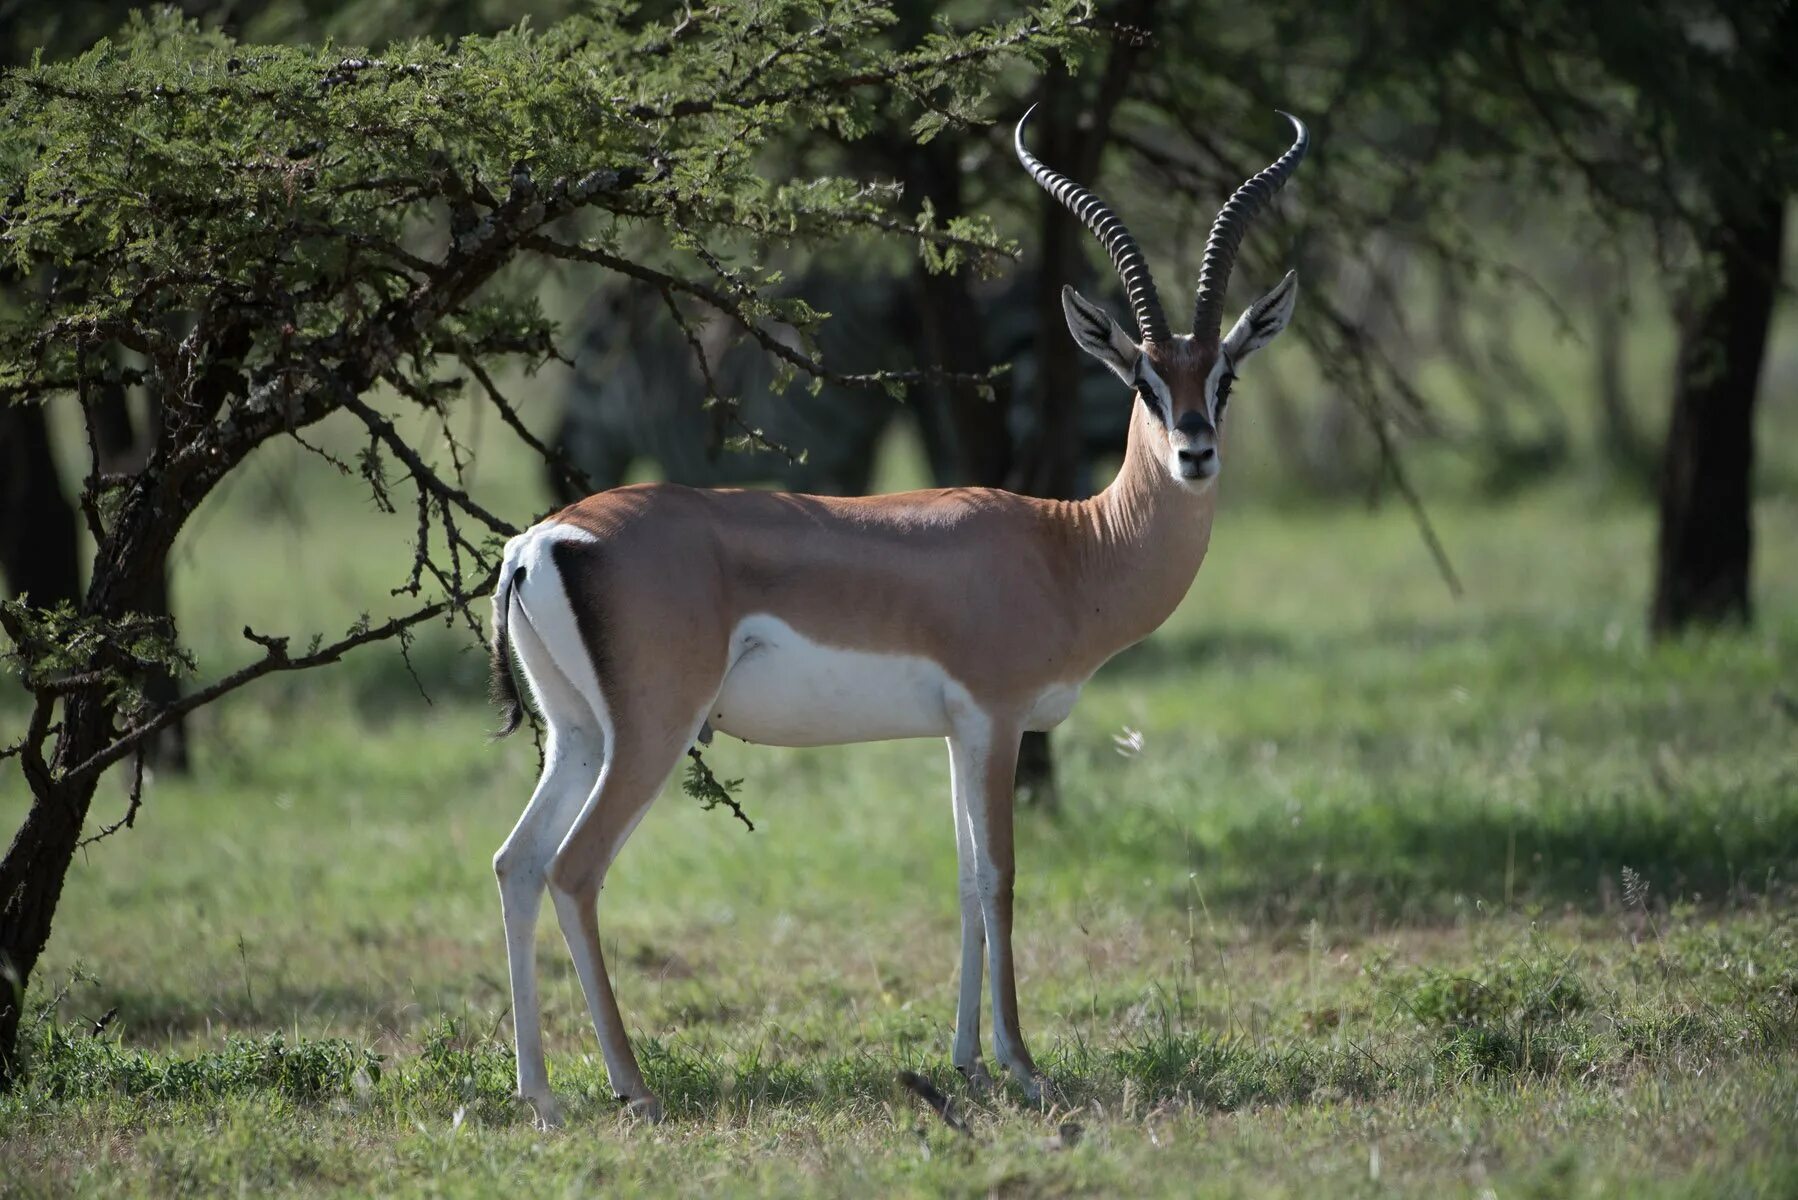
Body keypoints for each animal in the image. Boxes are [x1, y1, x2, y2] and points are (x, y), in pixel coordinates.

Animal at [489, 105, 1308, 1129]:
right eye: (1144, 380)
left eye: (1223, 375)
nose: (1196, 452)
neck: (1069, 548)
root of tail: (541, 540)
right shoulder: (998, 720)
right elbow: (1000, 876)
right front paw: (1024, 1066)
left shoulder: (958, 730)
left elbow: (962, 879)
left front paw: (965, 1064)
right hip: (652, 735)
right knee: (574, 869)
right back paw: (633, 1088)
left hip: (578, 734)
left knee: (517, 865)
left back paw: (542, 1097)